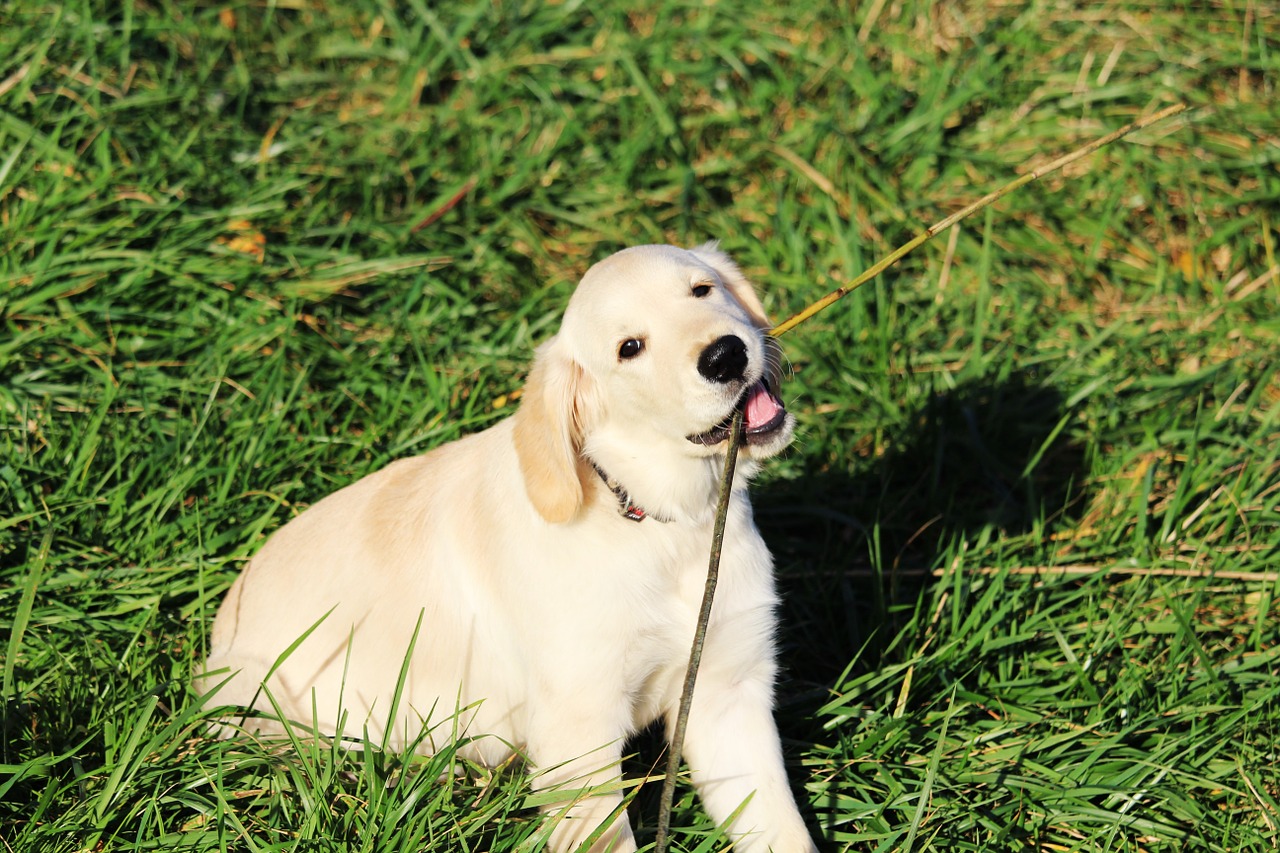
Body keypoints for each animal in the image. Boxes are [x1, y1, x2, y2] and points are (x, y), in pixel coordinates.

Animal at [199, 240, 819, 850]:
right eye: (630, 348)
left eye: (702, 289)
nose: (725, 356)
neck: (663, 523)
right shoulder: (578, 734)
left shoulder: (726, 692)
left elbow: (783, 830)